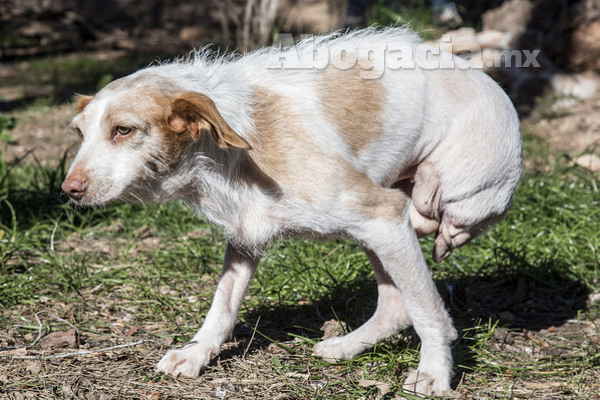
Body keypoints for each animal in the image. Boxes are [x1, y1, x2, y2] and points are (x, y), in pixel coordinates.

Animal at [59, 28, 520, 396]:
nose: (69, 190)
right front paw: (198, 353)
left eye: (123, 130)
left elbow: (430, 313)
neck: (221, 151)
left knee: (431, 265)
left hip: (422, 208)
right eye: (80, 133)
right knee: (395, 304)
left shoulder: (383, 213)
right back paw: (343, 346)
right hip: (377, 234)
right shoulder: (245, 238)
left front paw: (435, 373)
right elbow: (222, 306)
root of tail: (486, 78)